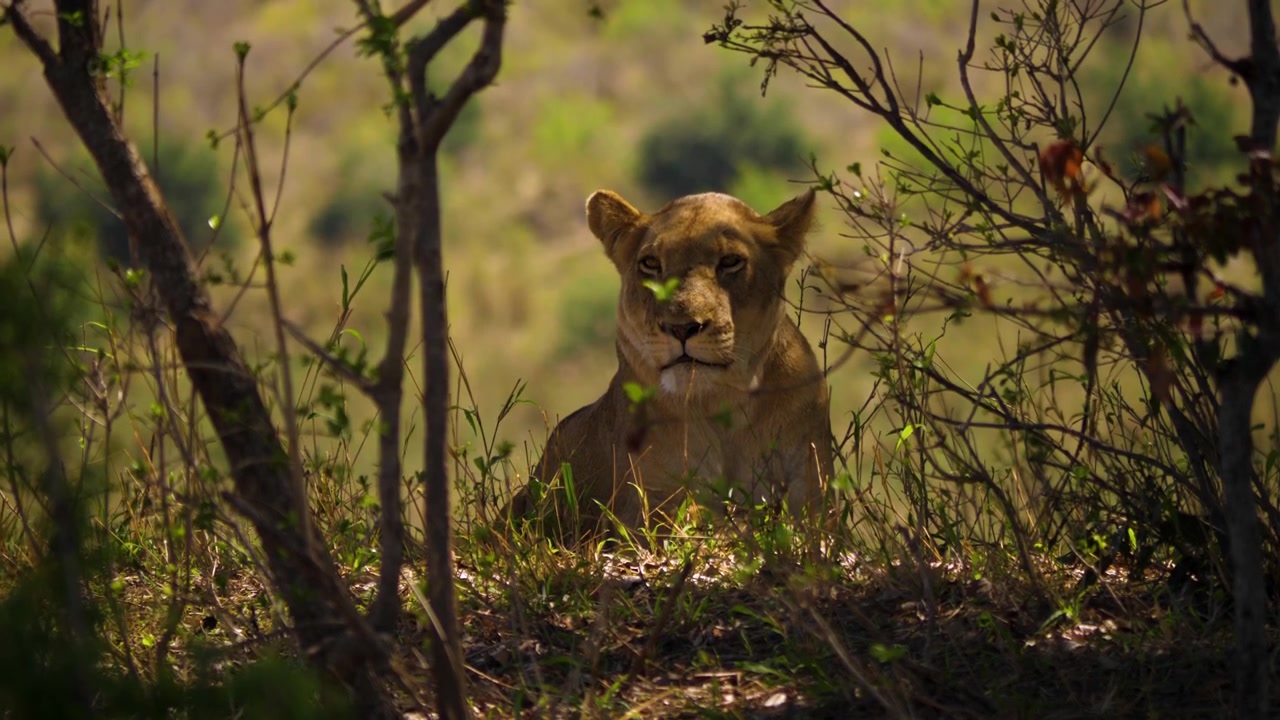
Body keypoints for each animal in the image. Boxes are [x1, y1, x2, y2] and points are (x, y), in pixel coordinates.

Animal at [510, 188, 833, 538]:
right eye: (651, 264)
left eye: (730, 261)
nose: (682, 327)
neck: (720, 407)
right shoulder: (643, 503)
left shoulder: (810, 478)